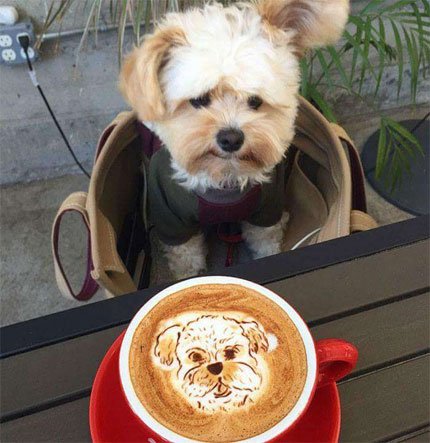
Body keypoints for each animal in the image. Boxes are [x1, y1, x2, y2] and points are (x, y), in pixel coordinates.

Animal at [119, 0, 349, 279]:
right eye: (199, 100)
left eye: (255, 100)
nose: (230, 138)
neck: (224, 183)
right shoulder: (173, 220)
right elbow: (187, 260)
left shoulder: (267, 211)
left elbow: (265, 242)